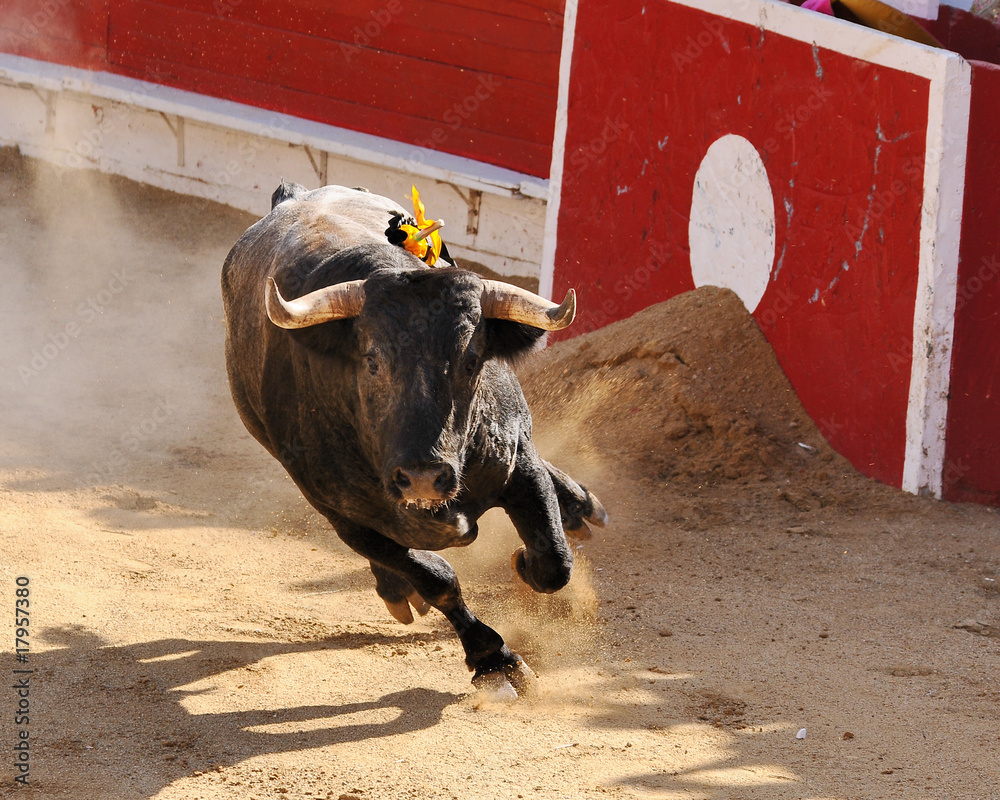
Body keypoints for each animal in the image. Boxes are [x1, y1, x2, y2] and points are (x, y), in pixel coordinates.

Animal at [221, 182, 606, 697]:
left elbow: (553, 560)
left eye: (472, 360)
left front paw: (526, 559)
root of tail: (291, 196)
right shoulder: (345, 517)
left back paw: (581, 505)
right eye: (371, 360)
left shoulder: (517, 461)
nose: (423, 477)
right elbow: (436, 578)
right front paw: (494, 661)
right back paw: (395, 589)